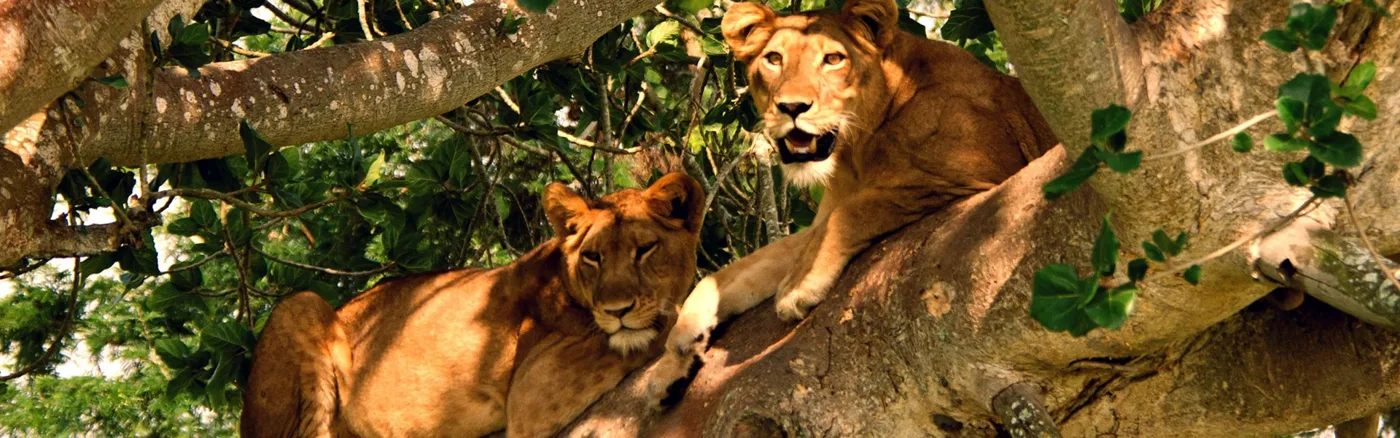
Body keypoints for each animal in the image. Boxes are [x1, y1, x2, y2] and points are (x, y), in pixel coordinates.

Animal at [240, 172, 705, 438]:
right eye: (593, 257)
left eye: (645, 249)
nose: (616, 310)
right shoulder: (534, 388)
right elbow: (665, 323)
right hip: (301, 306)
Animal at [646, 0, 1059, 406]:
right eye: (774, 59)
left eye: (832, 59)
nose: (792, 107)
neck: (855, 150)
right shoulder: (817, 221)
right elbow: (732, 273)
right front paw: (673, 355)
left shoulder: (978, 176)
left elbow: (852, 212)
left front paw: (798, 287)